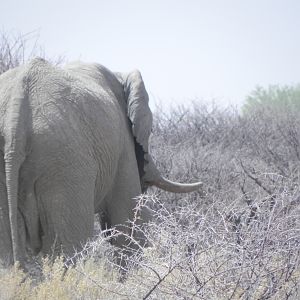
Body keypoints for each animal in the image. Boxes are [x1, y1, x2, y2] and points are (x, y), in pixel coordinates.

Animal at [0, 57, 203, 266]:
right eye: (151, 130)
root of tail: (14, 120)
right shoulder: (123, 146)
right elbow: (126, 222)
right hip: (64, 164)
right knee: (69, 249)